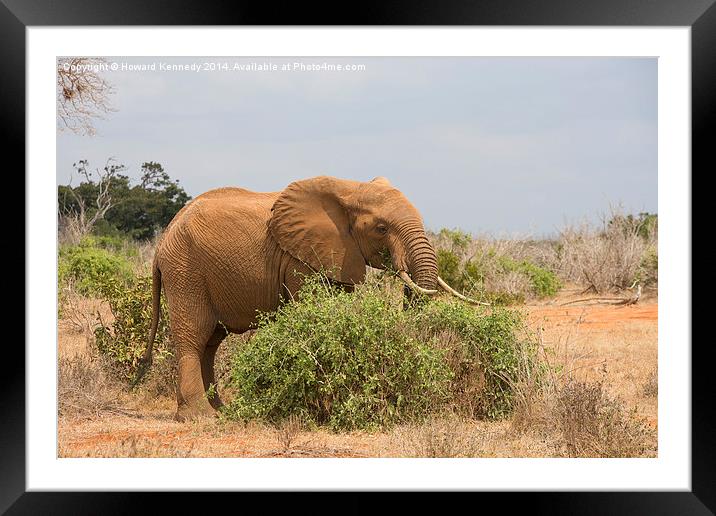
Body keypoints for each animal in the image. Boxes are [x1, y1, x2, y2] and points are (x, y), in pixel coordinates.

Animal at [136, 175, 478, 422]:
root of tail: (163, 238)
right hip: (186, 270)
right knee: (194, 336)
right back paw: (200, 418)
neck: (349, 190)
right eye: (382, 229)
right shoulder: (300, 260)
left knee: (211, 342)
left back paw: (220, 411)